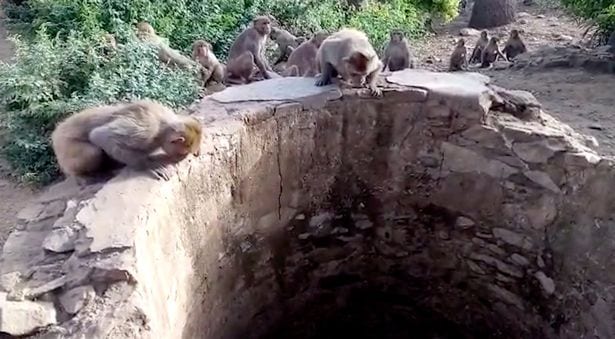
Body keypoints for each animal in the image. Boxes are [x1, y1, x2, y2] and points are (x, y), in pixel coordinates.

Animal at [51, 99, 202, 182]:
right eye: (184, 153)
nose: (183, 158)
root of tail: (56, 133)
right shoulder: (145, 130)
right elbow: (100, 135)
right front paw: (151, 165)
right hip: (65, 149)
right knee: (92, 152)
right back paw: (83, 176)